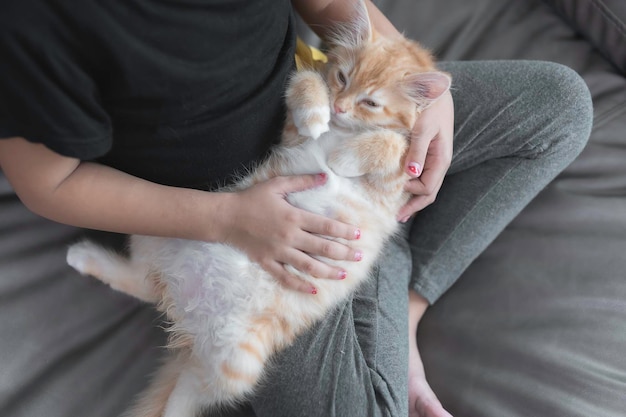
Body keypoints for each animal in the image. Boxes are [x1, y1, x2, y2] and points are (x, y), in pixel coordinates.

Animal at [67, 4, 448, 416]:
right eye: (342, 77)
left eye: (371, 102)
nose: (339, 107)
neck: (345, 131)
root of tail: (185, 310)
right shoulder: (291, 137)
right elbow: (304, 80)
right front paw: (316, 115)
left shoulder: (396, 187)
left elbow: (393, 143)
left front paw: (345, 158)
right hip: (159, 231)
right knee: (144, 284)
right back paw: (86, 257)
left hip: (235, 361)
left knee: (183, 379)